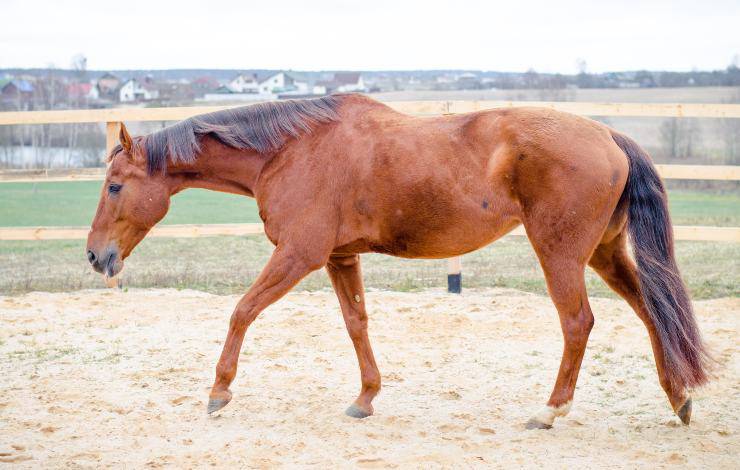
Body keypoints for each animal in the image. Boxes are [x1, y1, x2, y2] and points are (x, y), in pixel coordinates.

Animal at [86, 94, 709, 429]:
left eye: (115, 186)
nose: (95, 255)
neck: (291, 151)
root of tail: (608, 134)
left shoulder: (299, 255)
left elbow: (241, 310)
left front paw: (219, 391)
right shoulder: (339, 258)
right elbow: (357, 324)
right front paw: (365, 398)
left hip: (560, 254)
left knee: (579, 323)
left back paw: (550, 411)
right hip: (605, 253)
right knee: (652, 313)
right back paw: (679, 398)